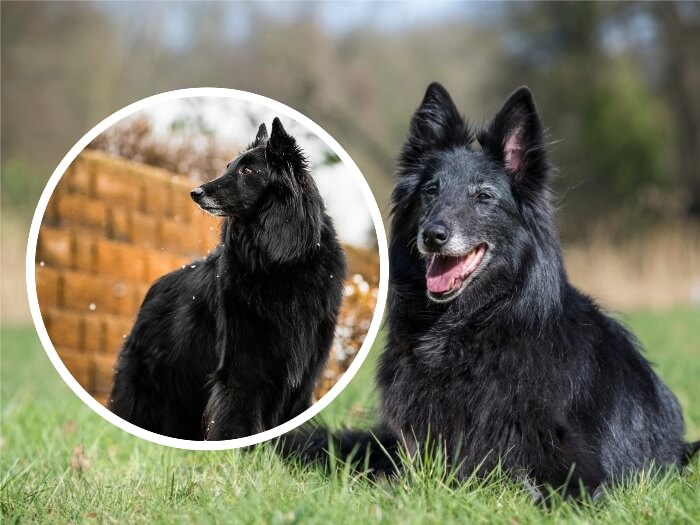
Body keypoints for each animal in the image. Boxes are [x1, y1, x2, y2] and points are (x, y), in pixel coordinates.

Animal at [110, 117, 348, 438]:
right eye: (228, 167)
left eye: (247, 170)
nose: (196, 193)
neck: (280, 263)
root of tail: (154, 288)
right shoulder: (242, 376)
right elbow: (236, 427)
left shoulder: (300, 385)